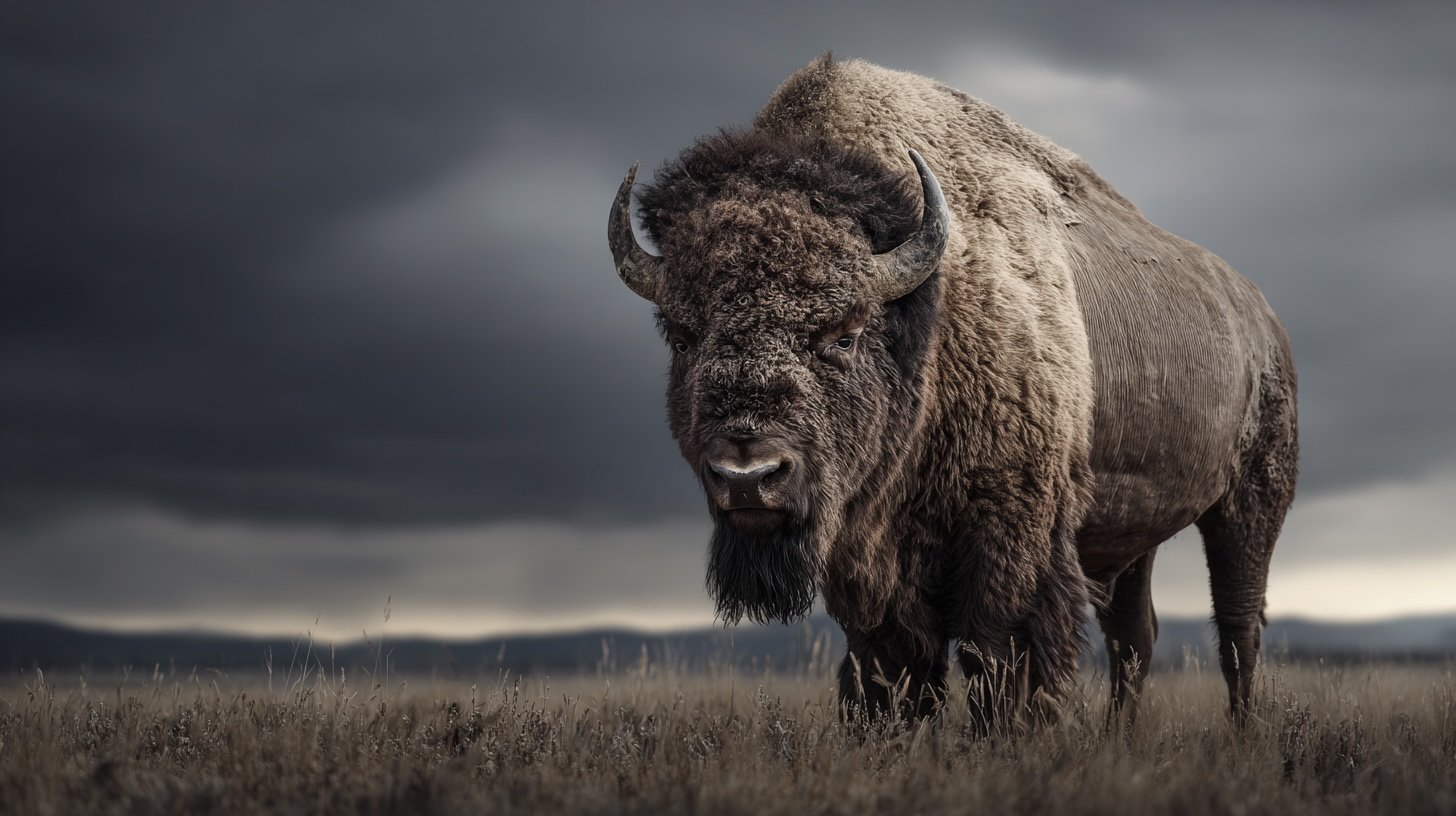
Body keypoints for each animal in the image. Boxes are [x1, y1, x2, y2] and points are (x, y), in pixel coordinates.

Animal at [607, 56, 1297, 723]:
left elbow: (1000, 667)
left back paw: (1241, 734)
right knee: (1136, 636)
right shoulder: (869, 579)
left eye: (845, 333)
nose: (748, 477)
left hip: (1249, 504)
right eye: (682, 334)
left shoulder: (1013, 546)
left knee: (1238, 628)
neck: (932, 314)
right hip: (1132, 534)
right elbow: (892, 676)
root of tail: (1264, 322)